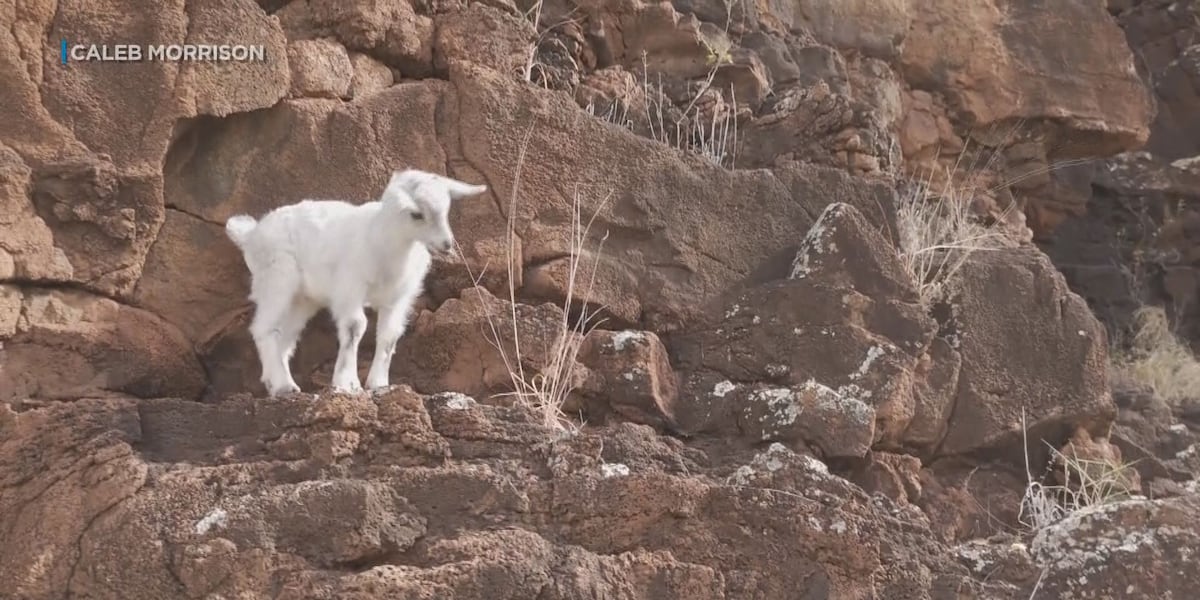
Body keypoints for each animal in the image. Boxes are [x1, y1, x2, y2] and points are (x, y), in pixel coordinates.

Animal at [224, 169, 488, 396]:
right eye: (417, 214)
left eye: (446, 210)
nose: (447, 244)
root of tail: (251, 234)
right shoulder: (349, 287)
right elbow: (355, 327)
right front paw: (346, 383)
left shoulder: (397, 298)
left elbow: (389, 336)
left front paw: (379, 383)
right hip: (276, 278)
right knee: (264, 328)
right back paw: (282, 386)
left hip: (302, 299)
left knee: (285, 338)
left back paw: (280, 383)